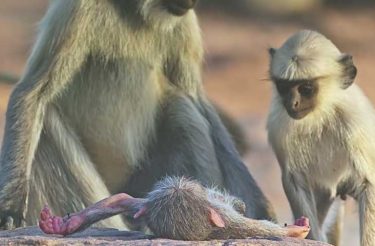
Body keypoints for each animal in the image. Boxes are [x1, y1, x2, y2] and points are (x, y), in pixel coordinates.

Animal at [0, 0, 274, 231]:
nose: (191, 2)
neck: (133, 11)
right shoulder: (76, 9)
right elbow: (33, 91)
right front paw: (11, 207)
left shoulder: (184, 21)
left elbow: (199, 101)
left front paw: (259, 207)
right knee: (47, 120)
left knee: (183, 107)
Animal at [268, 29, 375, 246]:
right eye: (283, 86)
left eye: (306, 88)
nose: (292, 103)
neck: (320, 114)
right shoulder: (278, 125)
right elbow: (294, 180)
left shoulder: (354, 121)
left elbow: (368, 184)